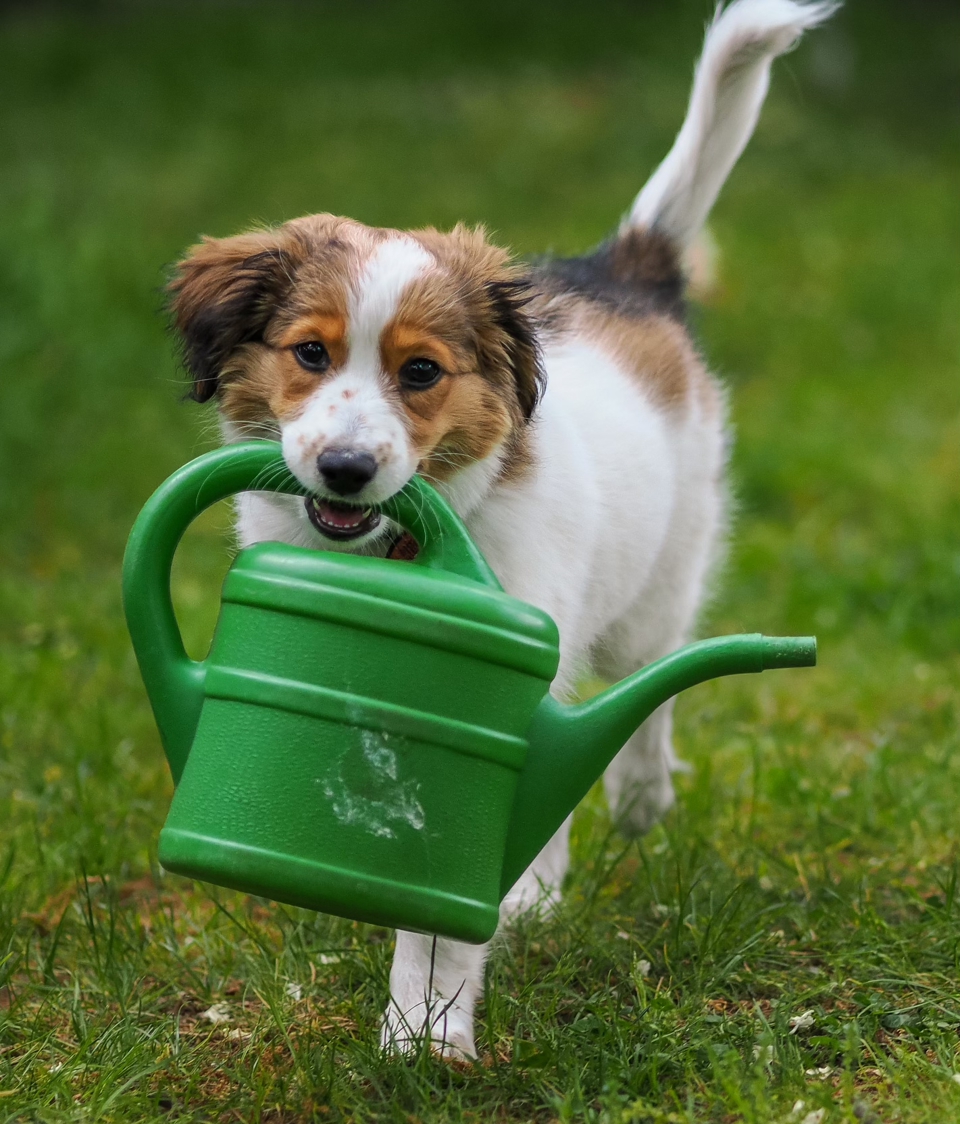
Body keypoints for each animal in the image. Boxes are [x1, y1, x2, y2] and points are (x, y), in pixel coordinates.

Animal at [168, 0, 836, 1056]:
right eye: (310, 354)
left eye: (422, 373)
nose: (346, 468)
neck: (394, 551)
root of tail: (623, 272)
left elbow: (441, 911)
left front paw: (426, 1036)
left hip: (658, 579)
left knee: (653, 681)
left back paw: (635, 801)